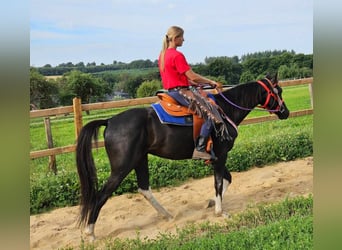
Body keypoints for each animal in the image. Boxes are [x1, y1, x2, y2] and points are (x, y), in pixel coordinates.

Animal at [75, 73, 288, 240]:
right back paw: (90, 232)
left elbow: (227, 179)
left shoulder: (217, 157)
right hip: (122, 167)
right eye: (278, 91)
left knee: (144, 188)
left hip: (140, 159)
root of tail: (110, 121)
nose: (286, 112)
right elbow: (219, 181)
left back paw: (168, 215)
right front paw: (220, 211)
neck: (225, 111)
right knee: (102, 195)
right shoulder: (221, 155)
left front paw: (211, 202)